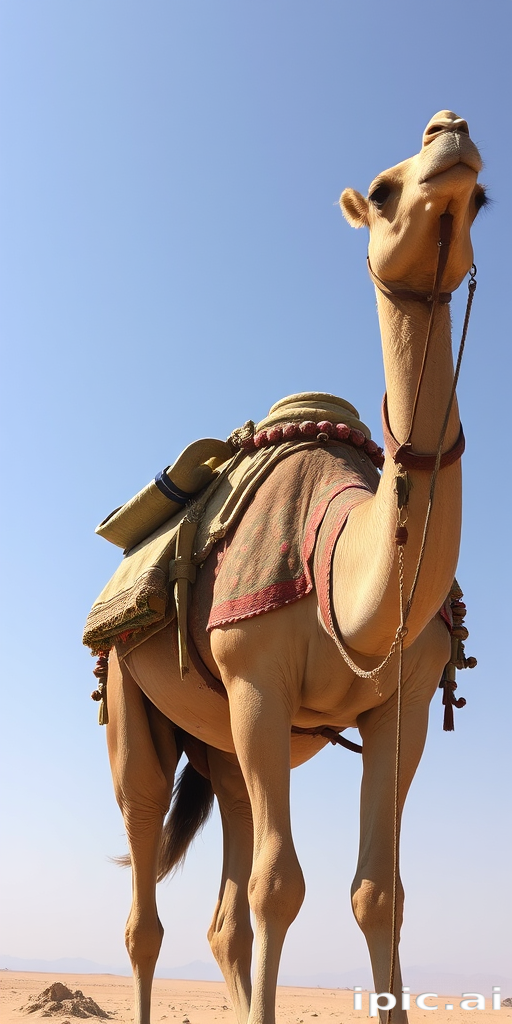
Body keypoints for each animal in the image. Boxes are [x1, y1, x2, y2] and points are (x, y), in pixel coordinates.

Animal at [103, 111, 486, 1024]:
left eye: (485, 196)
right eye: (381, 190)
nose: (450, 131)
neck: (339, 566)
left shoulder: (402, 706)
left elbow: (379, 893)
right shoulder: (257, 680)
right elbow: (281, 887)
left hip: (223, 749)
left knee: (223, 913)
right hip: (135, 698)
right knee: (146, 889)